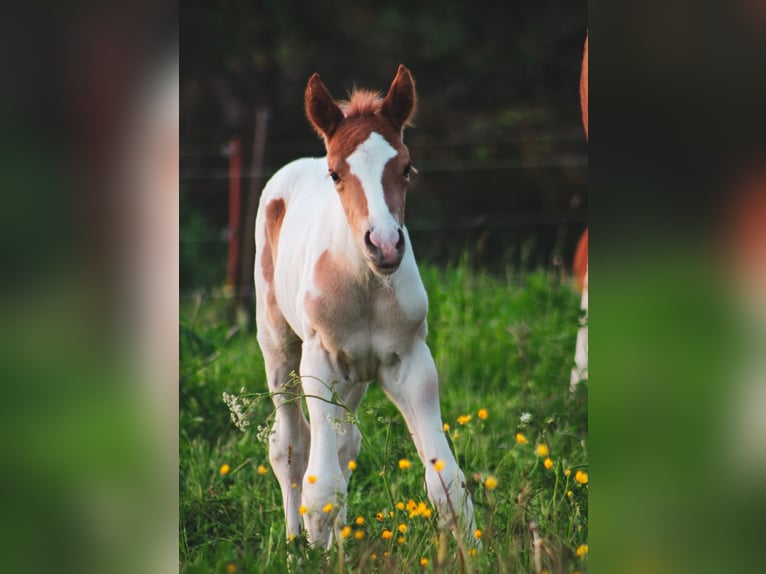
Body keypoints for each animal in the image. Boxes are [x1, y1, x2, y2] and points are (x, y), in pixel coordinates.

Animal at [255, 66, 476, 548]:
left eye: (407, 168)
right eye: (336, 174)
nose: (386, 244)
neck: (368, 285)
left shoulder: (411, 361)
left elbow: (447, 481)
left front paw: (477, 553)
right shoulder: (320, 362)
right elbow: (321, 487)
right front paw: (316, 553)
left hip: (354, 377)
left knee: (344, 446)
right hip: (279, 346)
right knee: (289, 446)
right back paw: (293, 547)